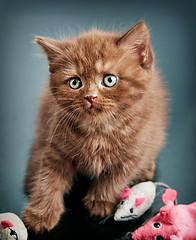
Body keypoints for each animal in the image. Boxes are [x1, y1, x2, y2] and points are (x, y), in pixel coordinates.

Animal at [22, 20, 168, 232]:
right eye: (75, 83)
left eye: (109, 80)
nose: (90, 97)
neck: (99, 132)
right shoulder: (56, 148)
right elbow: (48, 178)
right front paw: (40, 214)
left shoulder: (135, 152)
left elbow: (115, 178)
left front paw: (100, 202)